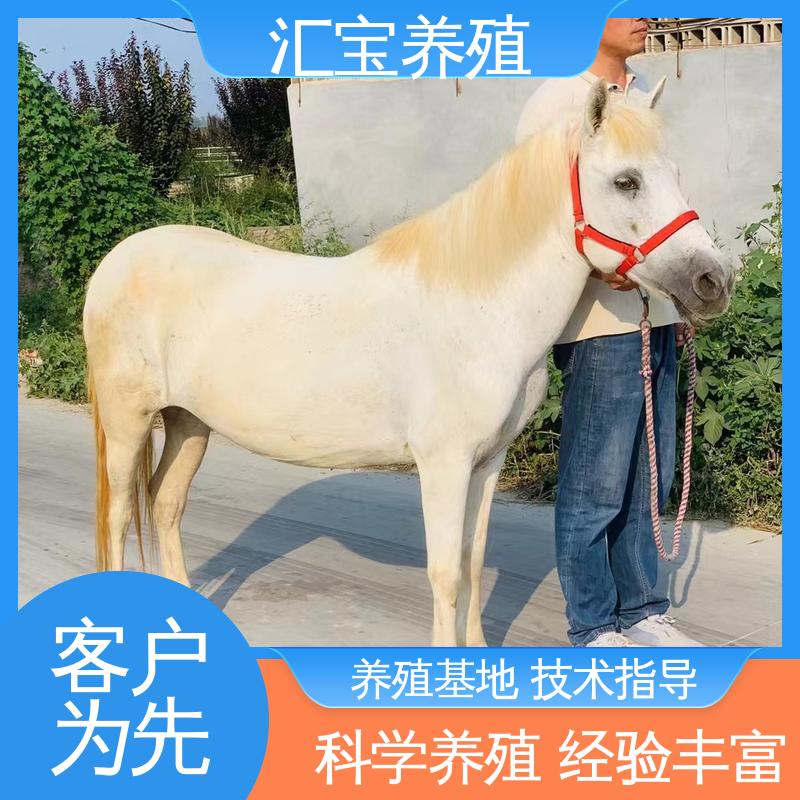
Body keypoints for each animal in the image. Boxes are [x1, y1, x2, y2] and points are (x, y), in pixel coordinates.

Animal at [83, 79, 732, 646]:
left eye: (675, 174)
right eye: (626, 181)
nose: (714, 281)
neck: (478, 308)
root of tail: (115, 263)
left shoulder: (486, 463)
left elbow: (472, 562)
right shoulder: (442, 465)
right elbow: (444, 573)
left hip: (189, 422)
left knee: (164, 506)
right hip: (128, 424)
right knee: (118, 518)